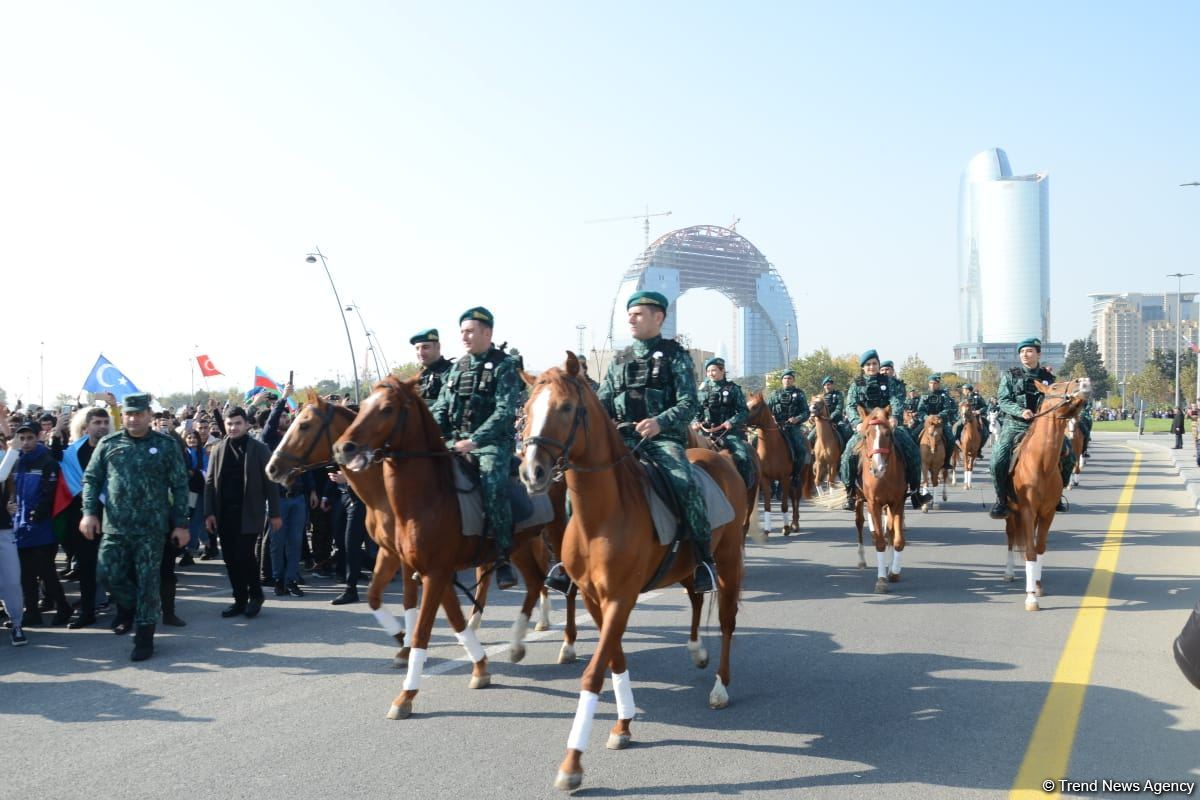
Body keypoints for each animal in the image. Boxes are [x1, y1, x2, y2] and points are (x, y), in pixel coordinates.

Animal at [333, 379, 549, 724]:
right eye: (363, 404)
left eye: (387, 408)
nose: (344, 448)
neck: (427, 499)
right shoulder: (430, 571)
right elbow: (456, 622)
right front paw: (480, 668)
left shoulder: (435, 574)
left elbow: (421, 633)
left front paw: (405, 696)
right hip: (521, 547)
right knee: (535, 581)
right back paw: (518, 644)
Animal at [520, 352, 744, 791]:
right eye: (526, 410)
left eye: (566, 408)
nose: (532, 472)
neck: (602, 514)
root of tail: (718, 457)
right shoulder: (596, 599)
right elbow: (615, 660)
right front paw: (622, 725)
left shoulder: (620, 598)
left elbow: (593, 673)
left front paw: (572, 764)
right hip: (690, 564)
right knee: (696, 596)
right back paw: (697, 649)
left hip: (730, 561)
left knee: (727, 621)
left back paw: (721, 687)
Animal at [744, 391, 801, 534]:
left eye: (754, 407)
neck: (772, 448)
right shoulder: (765, 479)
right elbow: (767, 505)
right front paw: (767, 529)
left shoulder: (784, 478)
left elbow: (785, 505)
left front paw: (786, 528)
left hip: (798, 477)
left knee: (796, 498)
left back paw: (795, 523)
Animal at [854, 410, 907, 592]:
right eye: (866, 435)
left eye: (888, 434)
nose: (878, 468)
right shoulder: (873, 504)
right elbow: (879, 542)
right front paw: (882, 580)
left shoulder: (897, 502)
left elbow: (897, 539)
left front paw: (894, 572)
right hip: (859, 499)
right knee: (859, 522)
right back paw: (861, 560)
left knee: (889, 530)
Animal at [998, 379, 1094, 609]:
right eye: (1055, 387)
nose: (1084, 381)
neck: (1042, 464)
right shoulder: (1027, 510)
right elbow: (1030, 550)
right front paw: (1030, 597)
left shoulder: (1047, 512)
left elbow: (1039, 548)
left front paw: (1037, 585)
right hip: (1011, 513)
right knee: (1010, 537)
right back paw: (1009, 572)